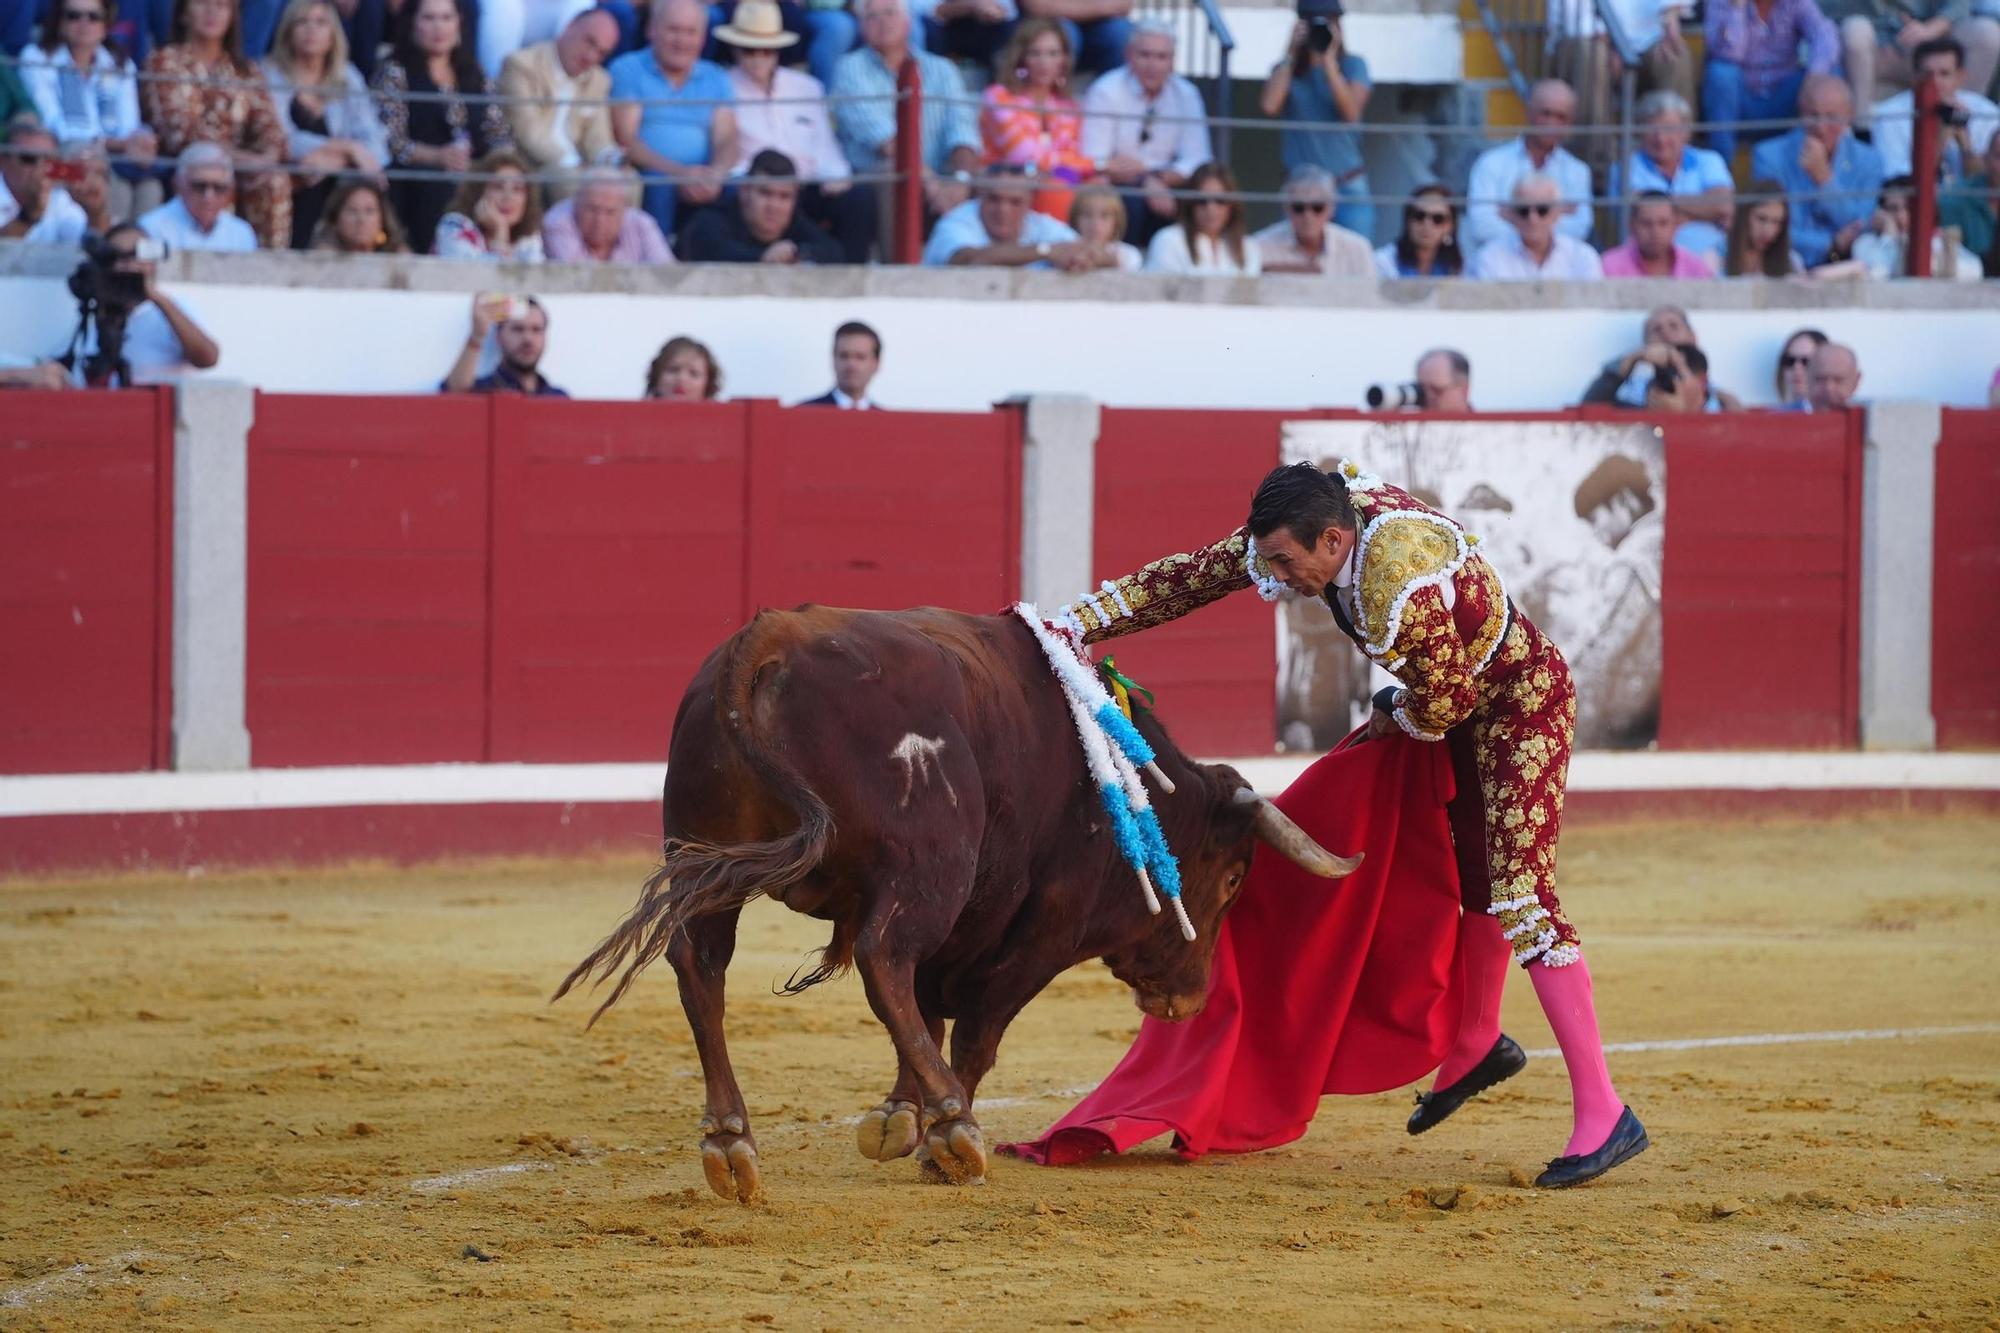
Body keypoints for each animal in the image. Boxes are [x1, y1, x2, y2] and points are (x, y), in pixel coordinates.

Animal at [556, 600, 1352, 1192]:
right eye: (1235, 878)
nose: (1188, 998)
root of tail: (768, 638)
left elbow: (928, 1014)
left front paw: (896, 1114)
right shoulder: (1043, 931)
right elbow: (974, 1029)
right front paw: (932, 1126)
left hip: (701, 858)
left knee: (702, 970)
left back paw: (730, 1142)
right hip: (925, 873)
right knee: (881, 960)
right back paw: (954, 1127)